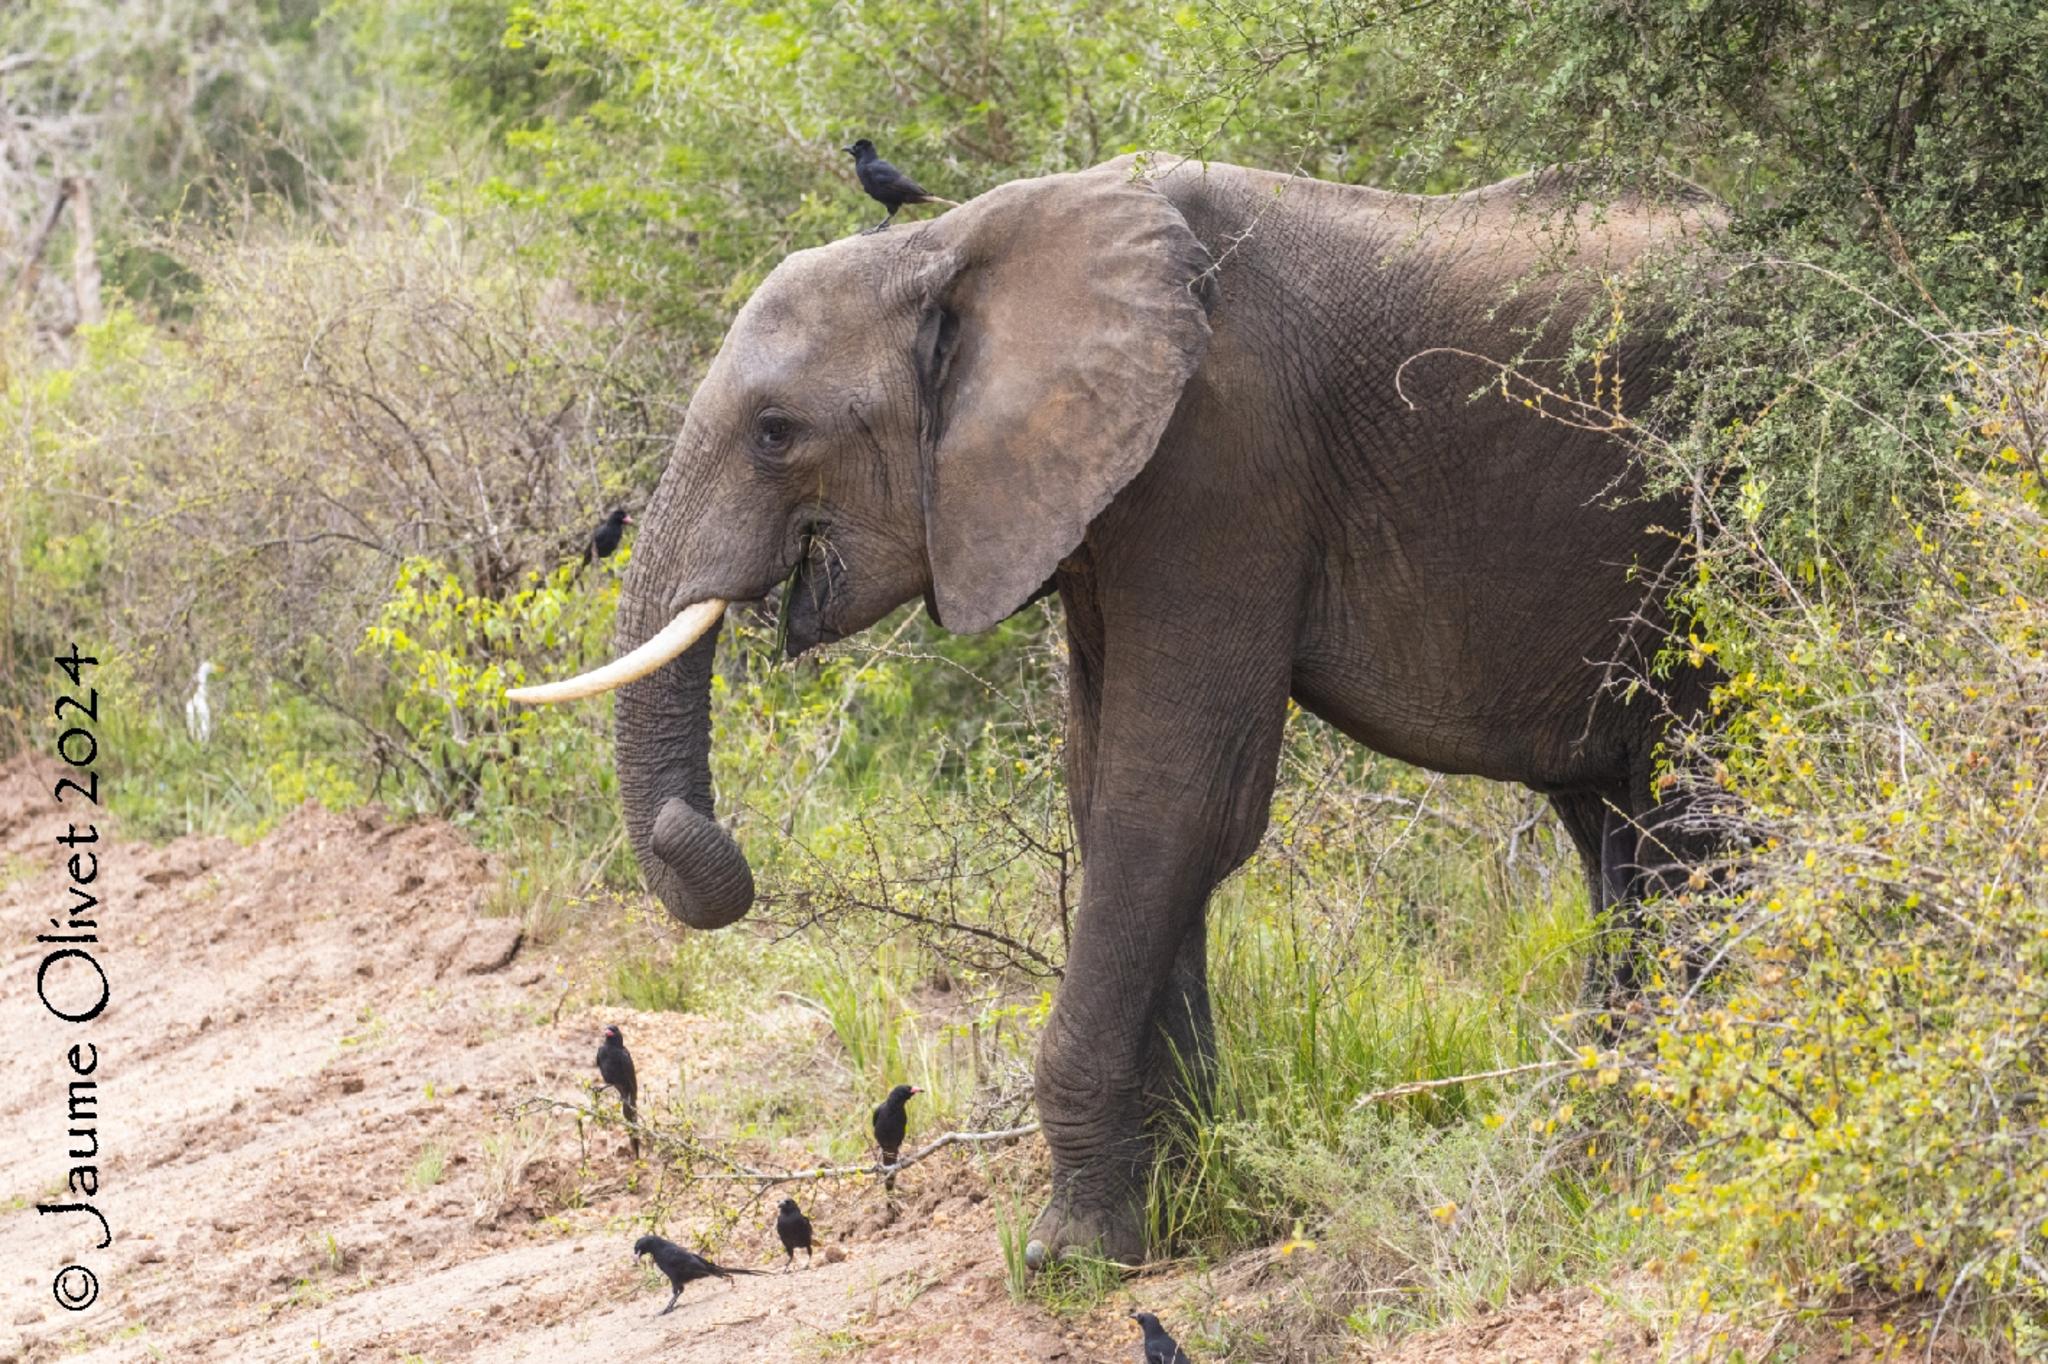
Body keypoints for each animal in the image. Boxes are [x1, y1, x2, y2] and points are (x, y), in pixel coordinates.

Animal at [516, 153, 1728, 1261]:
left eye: (775, 430)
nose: (700, 835)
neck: (952, 244)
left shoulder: (1221, 464)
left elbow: (1175, 803)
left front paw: (1077, 1253)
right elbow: (1109, 798)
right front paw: (1192, 1189)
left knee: (1692, 808)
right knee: (1614, 826)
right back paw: (1597, 1127)